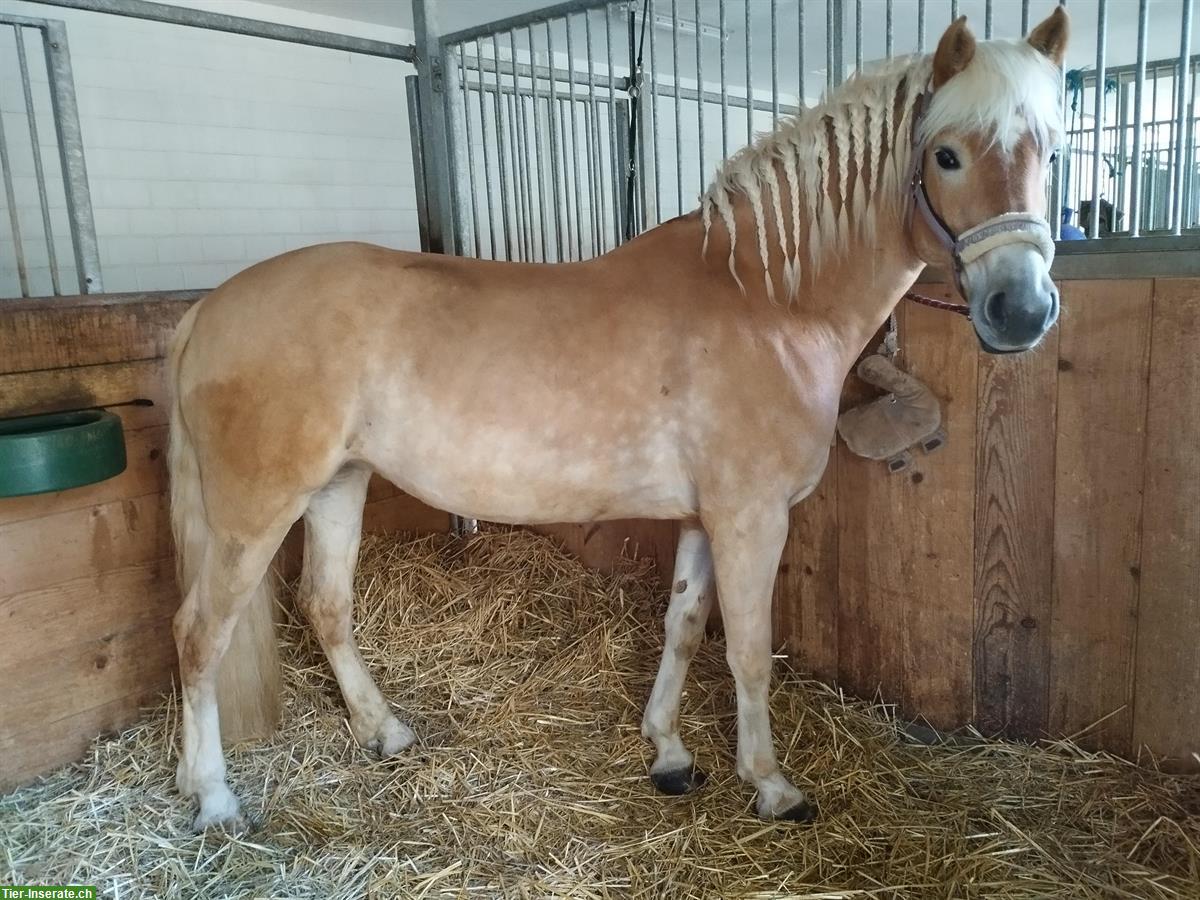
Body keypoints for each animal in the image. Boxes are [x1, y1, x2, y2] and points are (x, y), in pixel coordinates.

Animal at [166, 12, 1070, 830]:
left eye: (1053, 152)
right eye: (947, 154)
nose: (1021, 311)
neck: (766, 303)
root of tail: (207, 309)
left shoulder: (706, 518)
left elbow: (683, 627)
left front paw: (668, 752)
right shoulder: (752, 518)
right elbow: (748, 651)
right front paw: (772, 786)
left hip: (338, 484)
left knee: (325, 606)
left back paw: (383, 731)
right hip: (255, 510)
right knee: (199, 634)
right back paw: (214, 799)